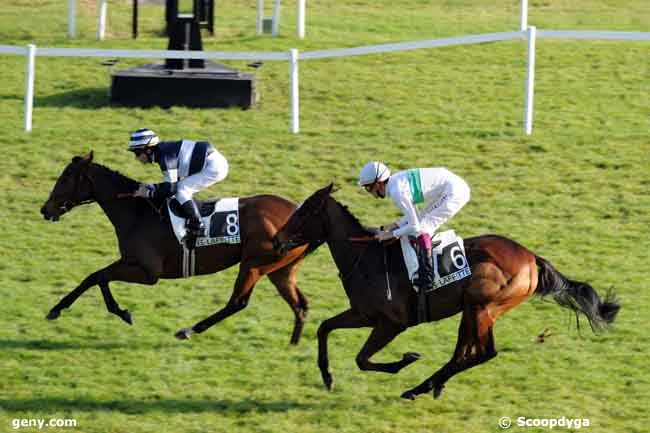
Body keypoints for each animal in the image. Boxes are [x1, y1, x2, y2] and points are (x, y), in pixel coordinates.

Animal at [39, 152, 312, 344]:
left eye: (65, 178)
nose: (45, 209)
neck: (138, 214)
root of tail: (298, 211)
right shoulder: (130, 262)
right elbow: (95, 276)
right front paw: (64, 308)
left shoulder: (149, 273)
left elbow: (99, 276)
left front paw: (113, 311)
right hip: (280, 269)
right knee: (300, 304)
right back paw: (294, 344)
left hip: (254, 264)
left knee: (237, 302)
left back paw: (188, 330)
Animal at [272, 182, 616, 398]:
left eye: (303, 212)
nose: (276, 240)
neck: (365, 257)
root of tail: (532, 257)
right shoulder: (363, 314)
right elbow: (325, 328)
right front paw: (327, 376)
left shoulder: (392, 322)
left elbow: (362, 359)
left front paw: (406, 359)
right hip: (474, 310)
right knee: (466, 353)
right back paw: (432, 385)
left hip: (482, 306)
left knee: (482, 352)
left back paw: (419, 388)